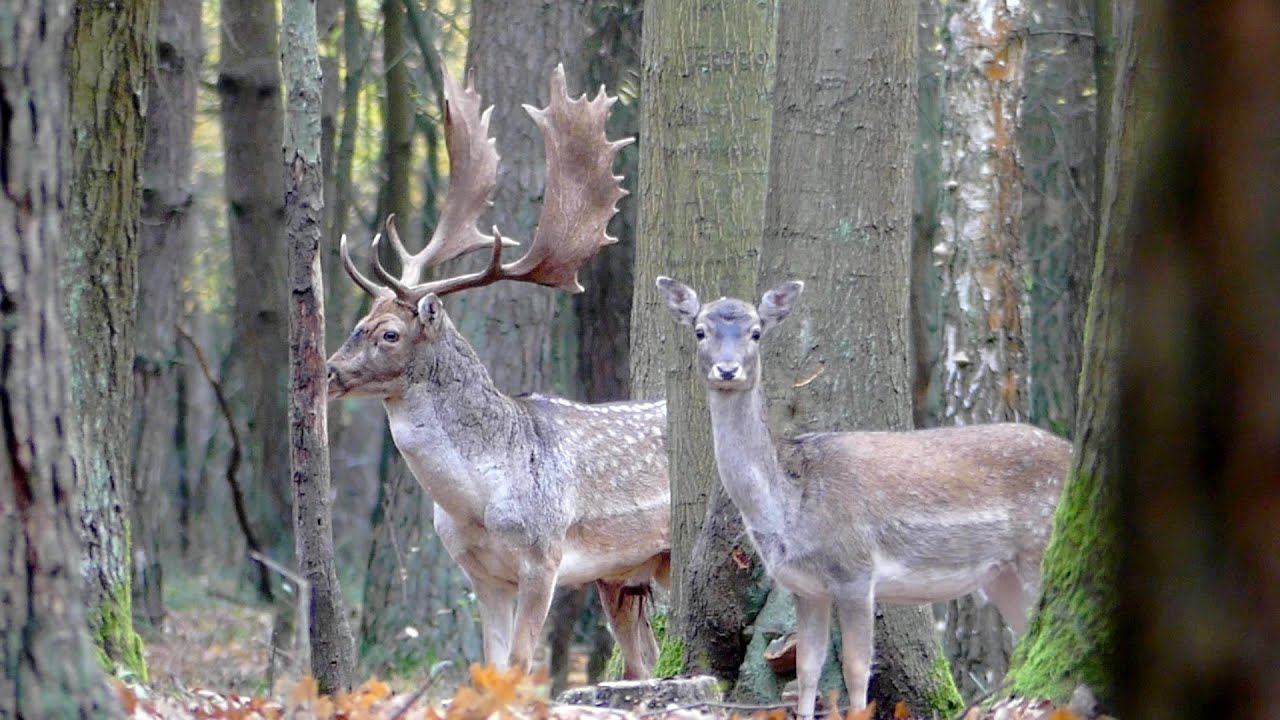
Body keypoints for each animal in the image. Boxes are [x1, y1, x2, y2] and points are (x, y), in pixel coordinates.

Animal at [326, 65, 670, 678]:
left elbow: (521, 663)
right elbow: (487, 667)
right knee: (642, 658)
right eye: (360, 320)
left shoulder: (544, 554)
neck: (476, 503)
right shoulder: (480, 572)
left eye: (390, 333)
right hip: (621, 572)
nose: (329, 371)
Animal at [656, 277, 1070, 717]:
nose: (727, 369)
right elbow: (807, 669)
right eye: (700, 331)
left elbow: (856, 670)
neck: (790, 509)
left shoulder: (854, 570)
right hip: (1001, 574)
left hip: (1039, 548)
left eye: (755, 332)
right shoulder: (805, 587)